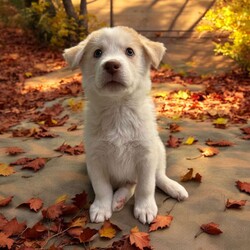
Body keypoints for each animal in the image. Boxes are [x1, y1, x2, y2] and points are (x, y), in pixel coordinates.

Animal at [63, 26, 188, 224]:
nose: (111, 65)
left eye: (130, 51)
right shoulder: (95, 159)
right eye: (97, 53)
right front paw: (101, 207)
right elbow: (102, 188)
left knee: (157, 176)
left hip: (159, 149)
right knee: (130, 184)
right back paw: (119, 199)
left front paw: (145, 208)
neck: (118, 109)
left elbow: (146, 186)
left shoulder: (146, 155)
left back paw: (173, 187)